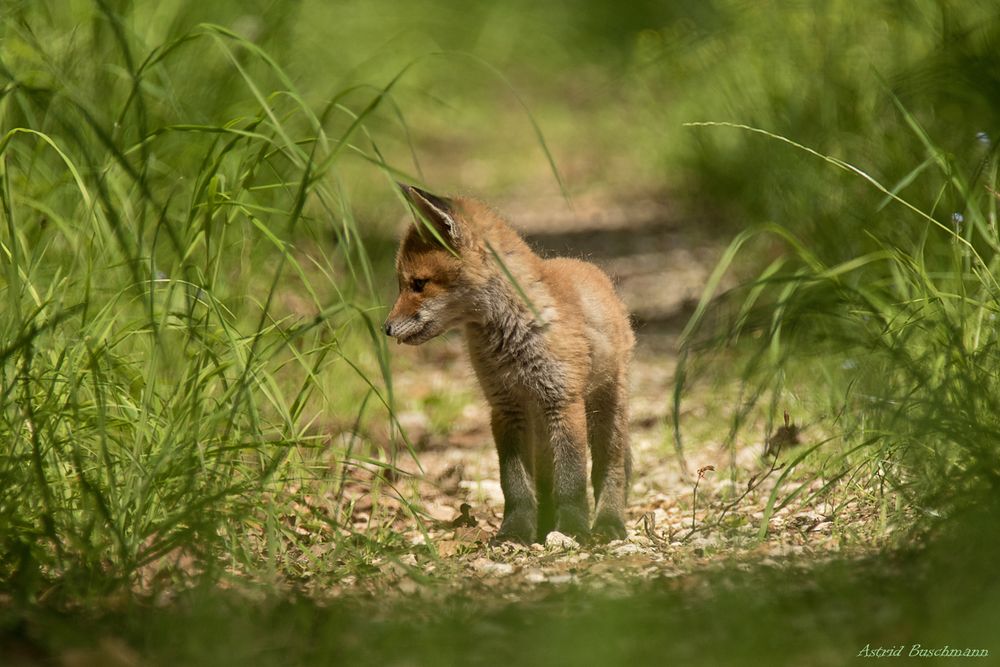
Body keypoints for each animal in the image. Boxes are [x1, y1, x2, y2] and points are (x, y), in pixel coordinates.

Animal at [384, 184, 632, 544]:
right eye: (403, 285)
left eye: (418, 284)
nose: (385, 328)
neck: (510, 340)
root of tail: (592, 271)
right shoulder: (505, 407)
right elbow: (514, 485)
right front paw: (515, 531)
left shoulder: (563, 401)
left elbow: (571, 480)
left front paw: (572, 529)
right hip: (540, 426)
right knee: (544, 479)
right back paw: (544, 523)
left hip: (605, 410)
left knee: (609, 470)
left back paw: (608, 523)